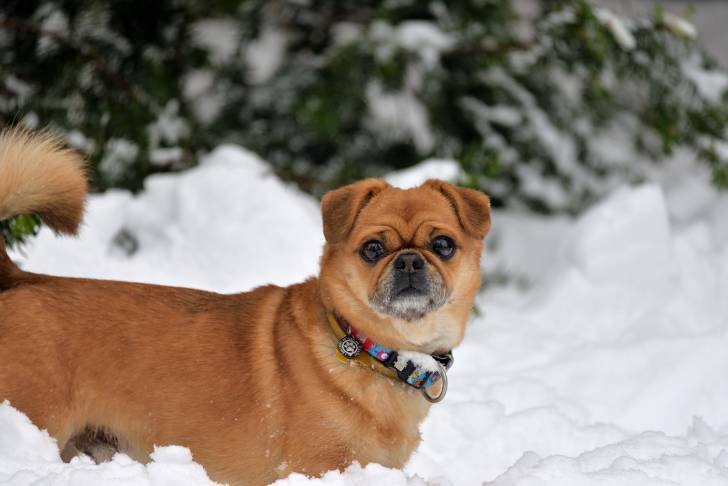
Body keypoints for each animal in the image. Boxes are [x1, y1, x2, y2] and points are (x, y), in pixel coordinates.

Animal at [0, 129, 492, 486]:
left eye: (443, 245)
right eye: (373, 249)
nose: (409, 260)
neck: (374, 351)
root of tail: (22, 279)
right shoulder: (317, 467)